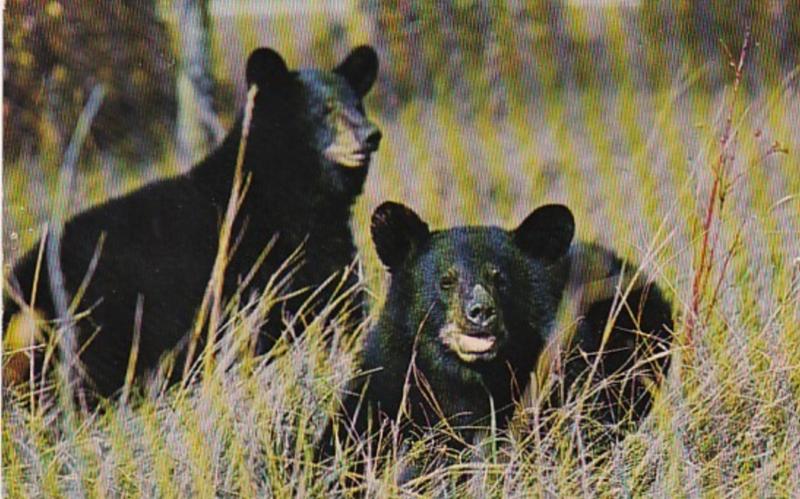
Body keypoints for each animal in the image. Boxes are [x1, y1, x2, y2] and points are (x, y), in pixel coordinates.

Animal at [322, 201, 672, 462]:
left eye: (499, 278)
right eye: (446, 281)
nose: (480, 312)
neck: (470, 376)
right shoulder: (390, 377)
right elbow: (354, 431)